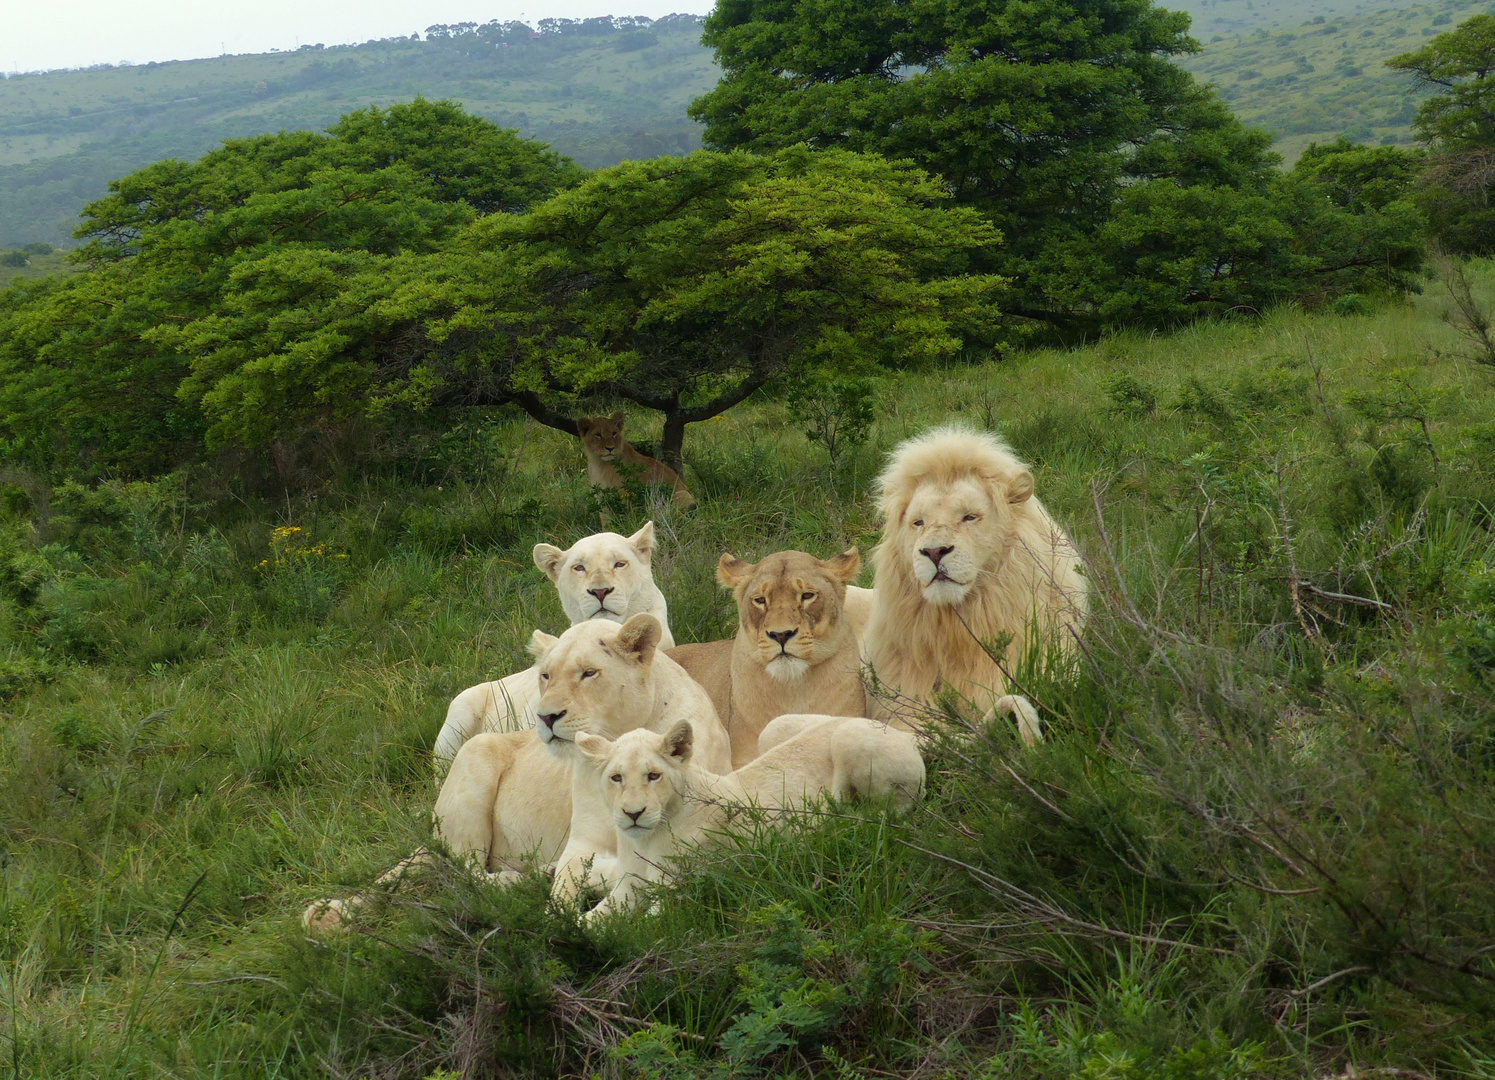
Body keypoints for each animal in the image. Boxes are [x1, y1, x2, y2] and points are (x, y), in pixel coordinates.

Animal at [301, 610, 729, 927]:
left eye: (589, 673)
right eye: (545, 675)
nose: (546, 717)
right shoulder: (582, 839)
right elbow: (565, 892)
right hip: (473, 756)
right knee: (462, 872)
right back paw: (521, 878)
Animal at [571, 712, 920, 921]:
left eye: (653, 776)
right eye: (616, 778)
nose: (633, 814)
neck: (644, 841)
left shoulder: (678, 890)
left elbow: (646, 928)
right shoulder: (628, 887)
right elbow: (589, 922)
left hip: (850, 738)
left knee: (892, 812)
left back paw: (834, 823)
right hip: (774, 727)